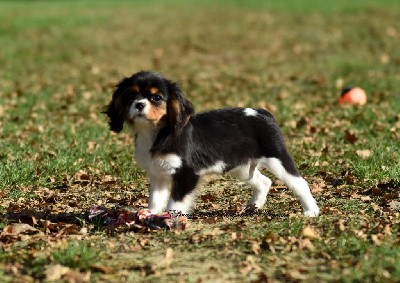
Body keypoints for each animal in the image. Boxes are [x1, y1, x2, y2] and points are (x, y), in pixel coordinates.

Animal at [104, 71, 320, 217]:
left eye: (156, 98)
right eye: (130, 96)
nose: (139, 105)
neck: (156, 132)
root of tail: (263, 113)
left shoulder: (187, 174)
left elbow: (175, 203)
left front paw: (172, 220)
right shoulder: (159, 173)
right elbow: (156, 199)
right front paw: (152, 216)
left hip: (276, 158)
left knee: (299, 182)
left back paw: (311, 211)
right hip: (242, 167)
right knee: (264, 181)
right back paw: (254, 206)